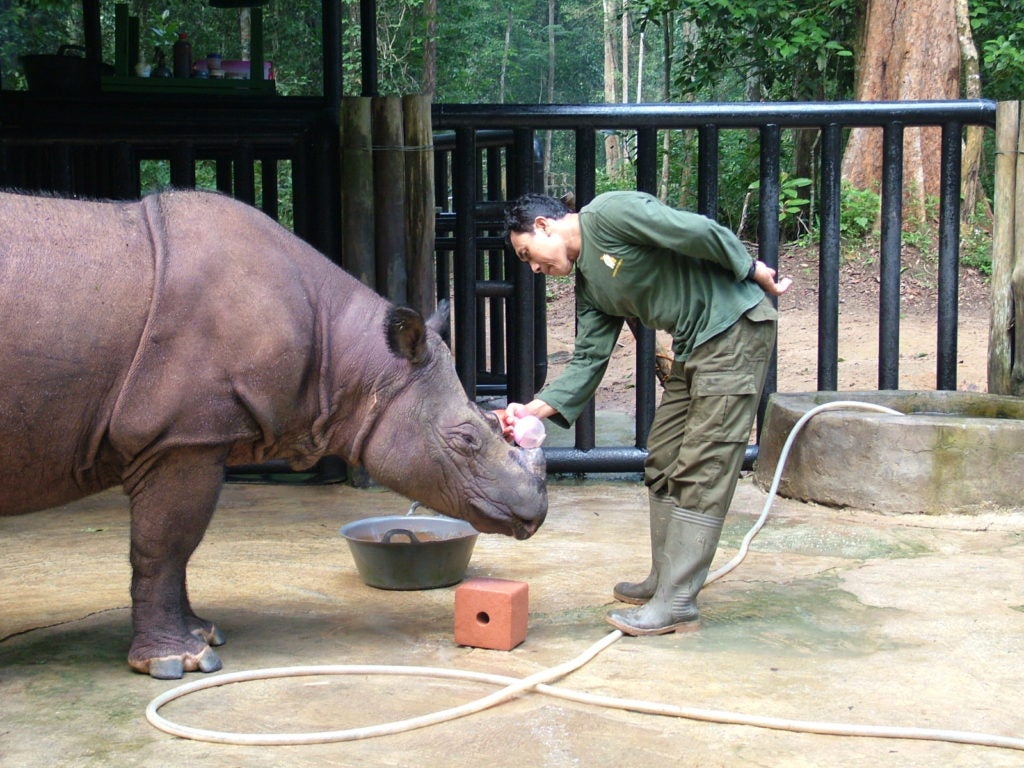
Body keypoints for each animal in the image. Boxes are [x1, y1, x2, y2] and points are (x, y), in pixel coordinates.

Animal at [0, 189, 547, 679]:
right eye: (465, 441)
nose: (536, 513)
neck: (357, 362)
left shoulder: (185, 437)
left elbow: (176, 548)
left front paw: (203, 634)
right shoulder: (182, 437)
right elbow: (166, 544)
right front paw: (178, 663)